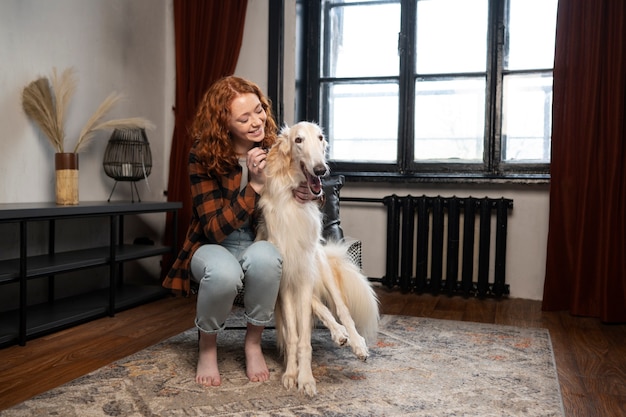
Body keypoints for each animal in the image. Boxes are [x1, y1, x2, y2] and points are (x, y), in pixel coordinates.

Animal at [255, 121, 380, 396]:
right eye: (298, 140)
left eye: (321, 138)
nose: (321, 170)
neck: (293, 201)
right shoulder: (286, 281)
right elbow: (293, 336)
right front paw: (291, 374)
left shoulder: (303, 273)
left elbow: (304, 338)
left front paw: (306, 378)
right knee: (319, 307)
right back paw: (339, 334)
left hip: (319, 265)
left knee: (341, 308)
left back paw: (356, 342)